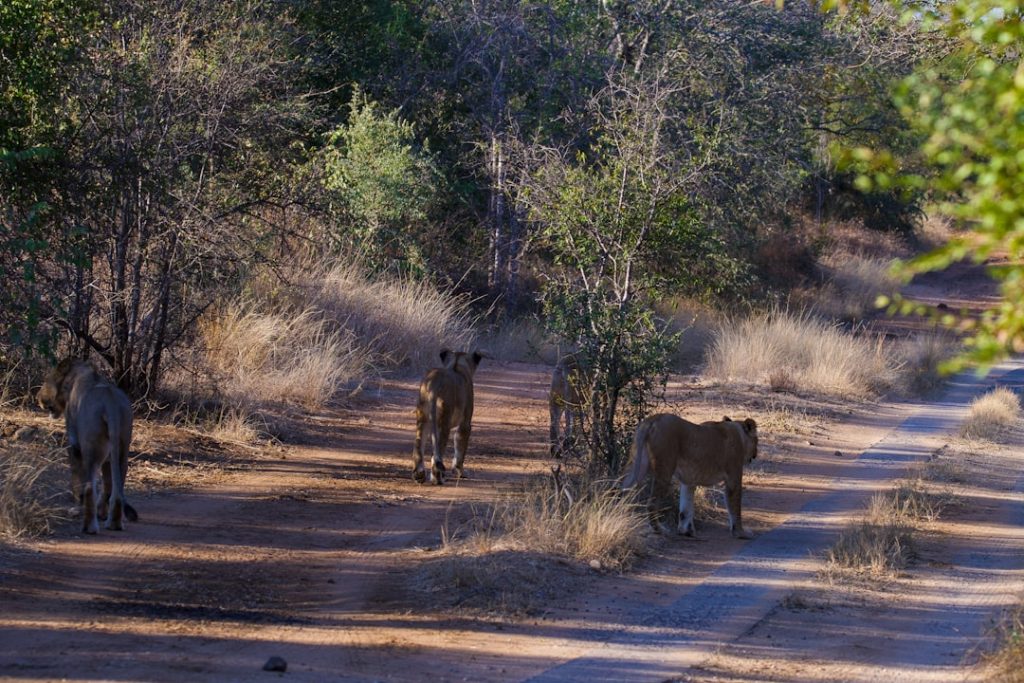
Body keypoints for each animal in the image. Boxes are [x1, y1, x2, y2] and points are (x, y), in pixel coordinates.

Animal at [38, 358, 138, 534]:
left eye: (45, 380)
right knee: (115, 489)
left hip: (92, 449)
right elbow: (107, 485)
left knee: (91, 487)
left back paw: (89, 527)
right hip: (121, 450)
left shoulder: (74, 442)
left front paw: (78, 500)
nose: (38, 398)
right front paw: (102, 513)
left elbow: (77, 475)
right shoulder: (109, 457)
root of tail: (110, 404)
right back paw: (113, 524)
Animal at [412, 349, 482, 485]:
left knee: (418, 446)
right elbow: (460, 447)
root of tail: (435, 380)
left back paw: (419, 475)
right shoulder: (465, 423)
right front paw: (460, 471)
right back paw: (438, 478)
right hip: (444, 420)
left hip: (423, 417)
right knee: (437, 451)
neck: (457, 364)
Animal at [621, 413, 758, 539]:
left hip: (636, 465)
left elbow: (685, 508)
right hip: (665, 470)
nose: (756, 453)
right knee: (651, 504)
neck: (739, 433)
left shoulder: (689, 481)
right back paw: (660, 530)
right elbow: (735, 507)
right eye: (756, 440)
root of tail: (654, 418)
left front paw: (685, 531)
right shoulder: (733, 477)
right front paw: (740, 533)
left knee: (622, 488)